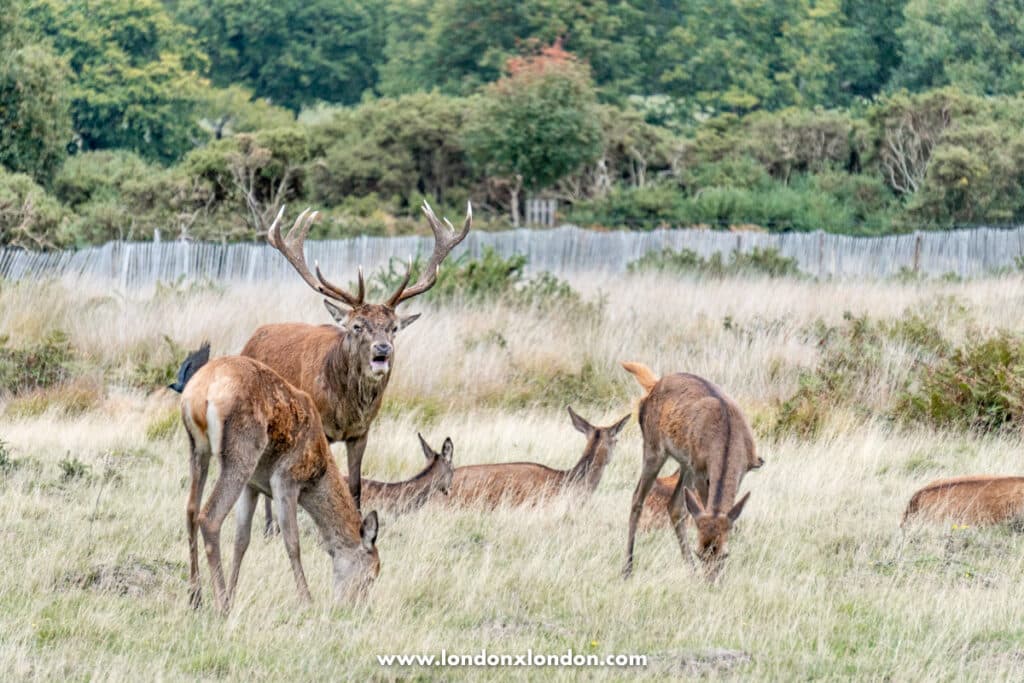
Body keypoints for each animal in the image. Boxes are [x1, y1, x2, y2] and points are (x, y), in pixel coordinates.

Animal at [174, 348, 382, 614]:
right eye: (371, 574)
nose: (355, 608)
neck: (318, 470)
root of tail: (199, 393)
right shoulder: (286, 480)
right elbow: (292, 541)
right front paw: (307, 600)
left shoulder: (252, 486)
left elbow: (242, 540)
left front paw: (233, 593)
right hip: (240, 457)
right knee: (209, 517)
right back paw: (222, 606)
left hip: (198, 450)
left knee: (191, 511)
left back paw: (196, 598)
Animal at [243, 200, 471, 528]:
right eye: (357, 326)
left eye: (393, 327)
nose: (383, 349)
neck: (345, 409)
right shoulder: (320, 430)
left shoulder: (362, 433)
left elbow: (355, 485)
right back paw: (270, 524)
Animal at [618, 360, 765, 581]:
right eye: (699, 553)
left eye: (725, 555)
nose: (711, 581)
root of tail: (653, 385)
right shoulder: (700, 470)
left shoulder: (740, 472)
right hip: (654, 448)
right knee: (637, 498)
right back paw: (627, 568)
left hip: (685, 463)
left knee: (675, 505)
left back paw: (690, 571)